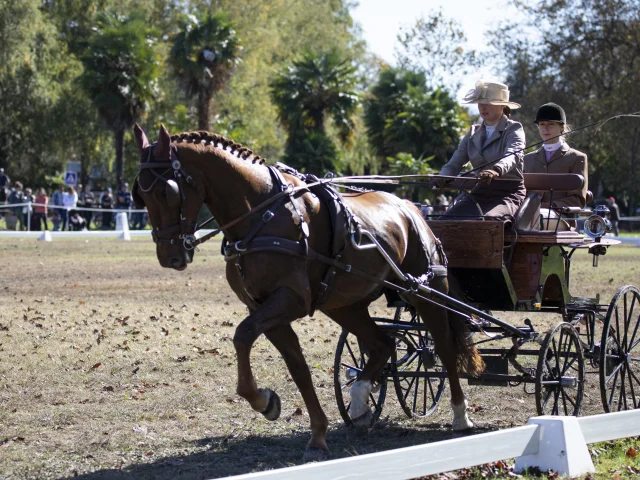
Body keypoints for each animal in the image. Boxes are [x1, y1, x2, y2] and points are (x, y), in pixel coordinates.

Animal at [131, 124, 480, 462]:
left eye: (167, 191)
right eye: (140, 196)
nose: (171, 257)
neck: (262, 216)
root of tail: (409, 207)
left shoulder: (292, 300)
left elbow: (243, 335)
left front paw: (265, 401)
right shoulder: (264, 307)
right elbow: (296, 366)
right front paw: (307, 429)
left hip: (426, 291)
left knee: (443, 346)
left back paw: (460, 416)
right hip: (344, 304)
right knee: (383, 343)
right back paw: (360, 405)